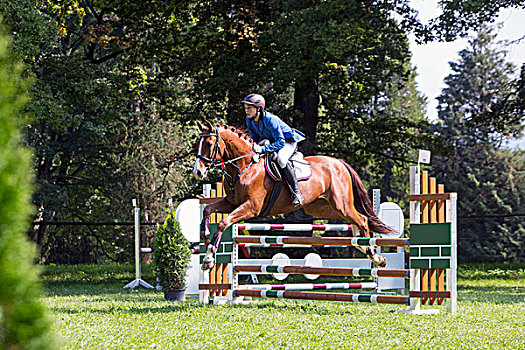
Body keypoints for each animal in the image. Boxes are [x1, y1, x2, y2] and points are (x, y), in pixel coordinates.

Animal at [194, 121, 396, 270]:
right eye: (197, 144)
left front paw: (209, 258)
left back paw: (374, 255)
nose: (198, 172)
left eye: (209, 144)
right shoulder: (230, 202)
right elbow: (208, 210)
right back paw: (365, 248)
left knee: (362, 219)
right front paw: (206, 239)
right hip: (323, 208)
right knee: (358, 221)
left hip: (341, 204)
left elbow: (223, 222)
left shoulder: (251, 207)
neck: (244, 166)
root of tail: (339, 163)